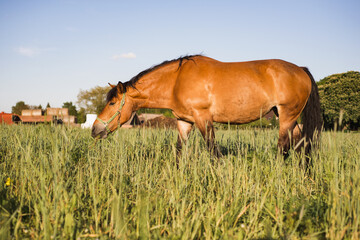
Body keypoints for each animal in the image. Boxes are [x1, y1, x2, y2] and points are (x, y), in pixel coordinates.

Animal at [91, 54, 322, 161]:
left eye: (112, 103)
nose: (94, 130)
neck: (176, 81)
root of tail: (300, 70)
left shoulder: (203, 118)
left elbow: (213, 151)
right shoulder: (185, 121)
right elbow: (179, 151)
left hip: (287, 116)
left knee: (284, 147)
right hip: (287, 116)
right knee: (301, 144)